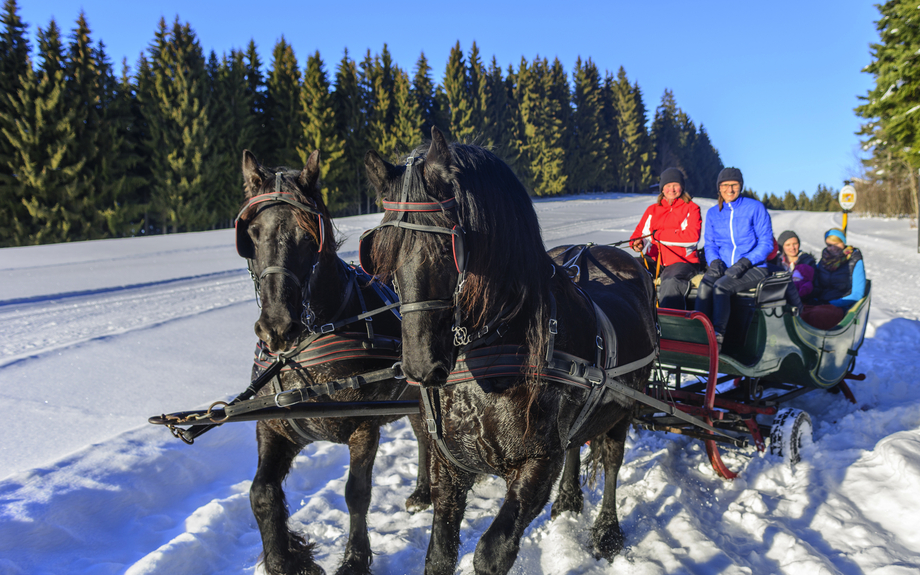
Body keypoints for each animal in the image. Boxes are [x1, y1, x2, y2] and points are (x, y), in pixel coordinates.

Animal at [241, 151, 434, 575]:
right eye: (253, 233)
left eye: (308, 235)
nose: (276, 327)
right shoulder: (273, 425)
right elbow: (261, 493)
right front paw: (285, 559)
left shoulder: (364, 425)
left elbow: (356, 494)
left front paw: (354, 559)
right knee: (423, 435)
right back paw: (423, 491)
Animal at [362, 130, 660, 575]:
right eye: (381, 252)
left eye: (447, 247)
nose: (419, 368)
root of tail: (606, 251)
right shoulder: (449, 465)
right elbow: (440, 554)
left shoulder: (537, 464)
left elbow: (492, 552)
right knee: (577, 444)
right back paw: (568, 500)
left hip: (622, 409)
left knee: (611, 460)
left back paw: (607, 531)